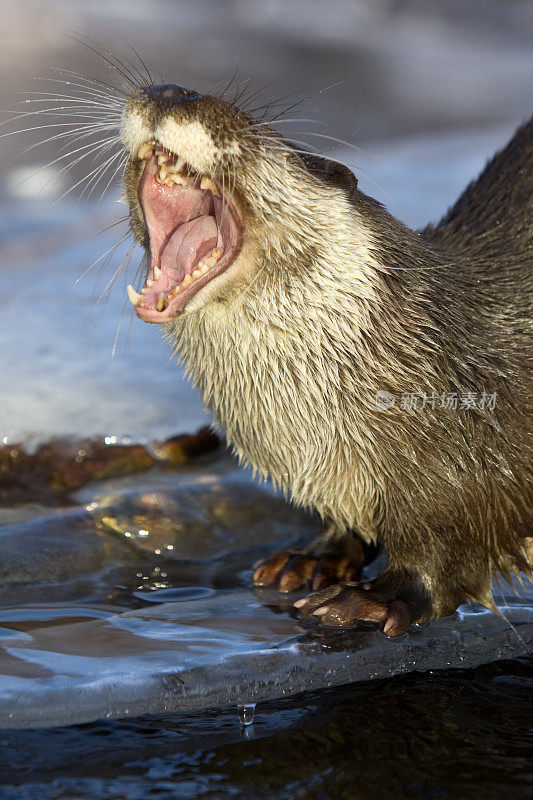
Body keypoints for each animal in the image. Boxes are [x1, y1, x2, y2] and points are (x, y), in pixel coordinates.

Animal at [118, 79, 528, 632]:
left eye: (267, 137)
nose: (170, 91)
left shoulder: (468, 473)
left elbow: (446, 556)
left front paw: (375, 598)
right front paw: (314, 557)